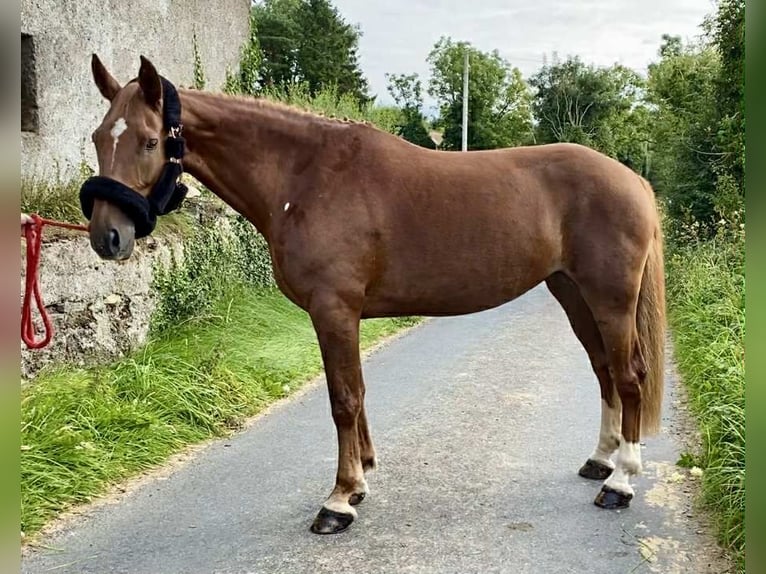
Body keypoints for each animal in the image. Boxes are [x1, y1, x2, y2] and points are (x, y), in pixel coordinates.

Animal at [80, 55, 666, 535]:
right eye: (98, 137)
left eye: (149, 140)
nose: (108, 237)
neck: (305, 178)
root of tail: (632, 180)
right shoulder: (344, 315)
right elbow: (356, 396)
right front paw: (359, 480)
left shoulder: (333, 309)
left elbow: (343, 400)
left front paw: (338, 502)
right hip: (572, 294)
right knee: (604, 371)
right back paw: (601, 460)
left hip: (610, 300)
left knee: (629, 374)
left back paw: (620, 483)